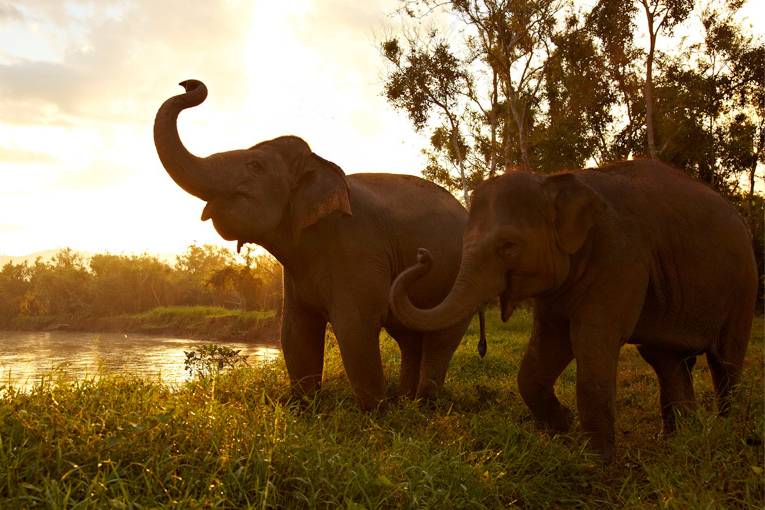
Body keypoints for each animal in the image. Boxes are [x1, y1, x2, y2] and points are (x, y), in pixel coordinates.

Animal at [154, 79, 478, 410]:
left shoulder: (357, 246)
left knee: (440, 338)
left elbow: (355, 326)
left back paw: (423, 405)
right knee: (409, 337)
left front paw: (374, 412)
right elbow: (295, 331)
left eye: (255, 165)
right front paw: (304, 407)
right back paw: (406, 402)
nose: (188, 83)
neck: (321, 165)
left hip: (461, 276)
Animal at [390, 161, 756, 460]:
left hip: (743, 286)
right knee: (666, 359)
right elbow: (546, 347)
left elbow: (590, 341)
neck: (553, 180)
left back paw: (727, 435)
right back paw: (676, 442)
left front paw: (598, 463)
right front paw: (562, 426)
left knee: (725, 360)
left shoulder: (620, 257)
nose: (423, 255)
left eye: (508, 246)